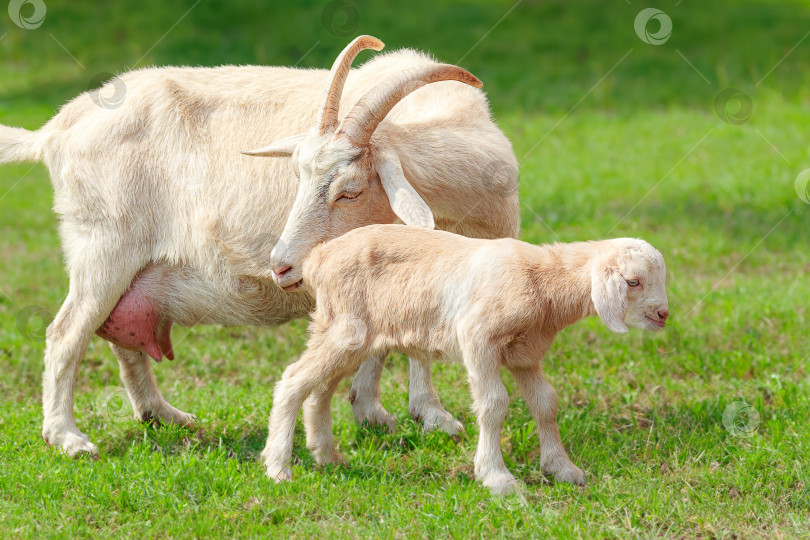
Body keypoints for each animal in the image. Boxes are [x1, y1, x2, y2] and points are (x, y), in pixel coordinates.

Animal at [0, 35, 516, 456]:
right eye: (298, 177)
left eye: (349, 190)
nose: (281, 266)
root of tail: (56, 129)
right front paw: (432, 416)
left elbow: (386, 343)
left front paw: (372, 411)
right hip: (103, 245)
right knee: (66, 333)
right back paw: (67, 437)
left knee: (121, 338)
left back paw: (163, 416)